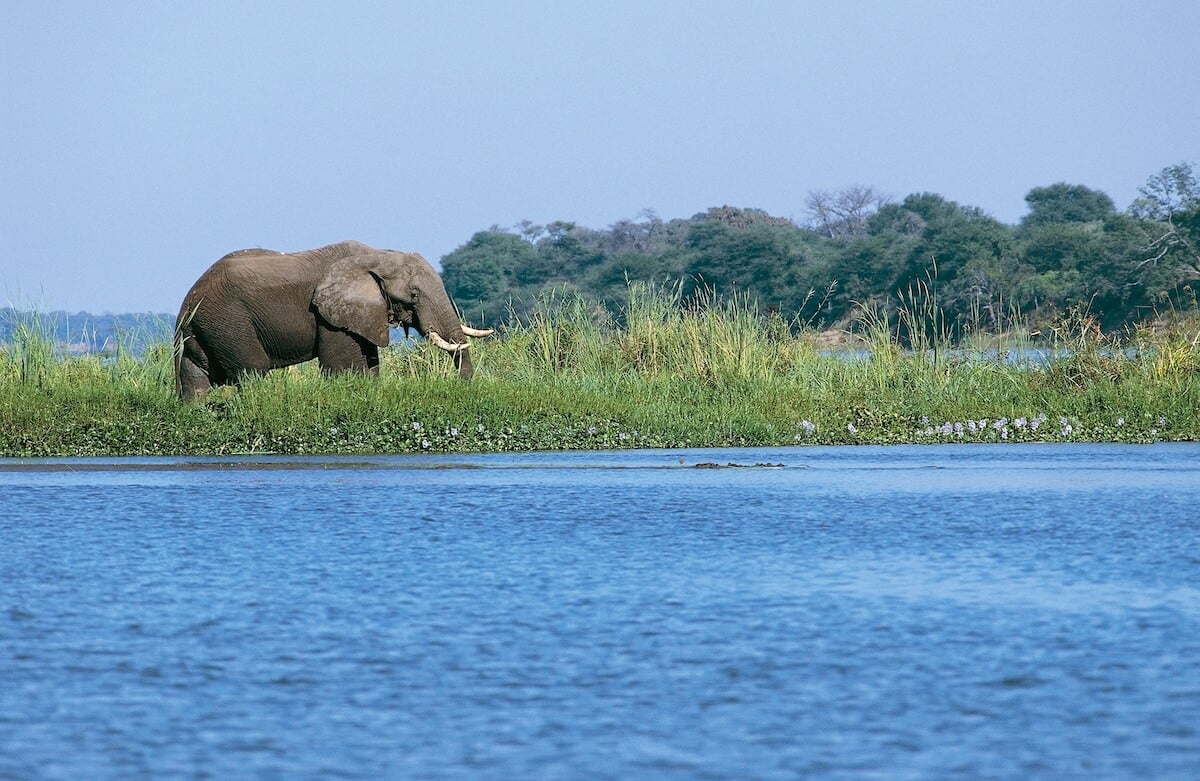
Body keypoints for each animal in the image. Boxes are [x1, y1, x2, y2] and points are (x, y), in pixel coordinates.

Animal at [172, 239, 487, 400]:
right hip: (229, 322)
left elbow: (370, 366)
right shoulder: (330, 317)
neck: (375, 255)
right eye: (413, 294)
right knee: (253, 371)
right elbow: (345, 370)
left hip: (207, 327)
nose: (460, 387)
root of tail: (187, 302)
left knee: (195, 376)